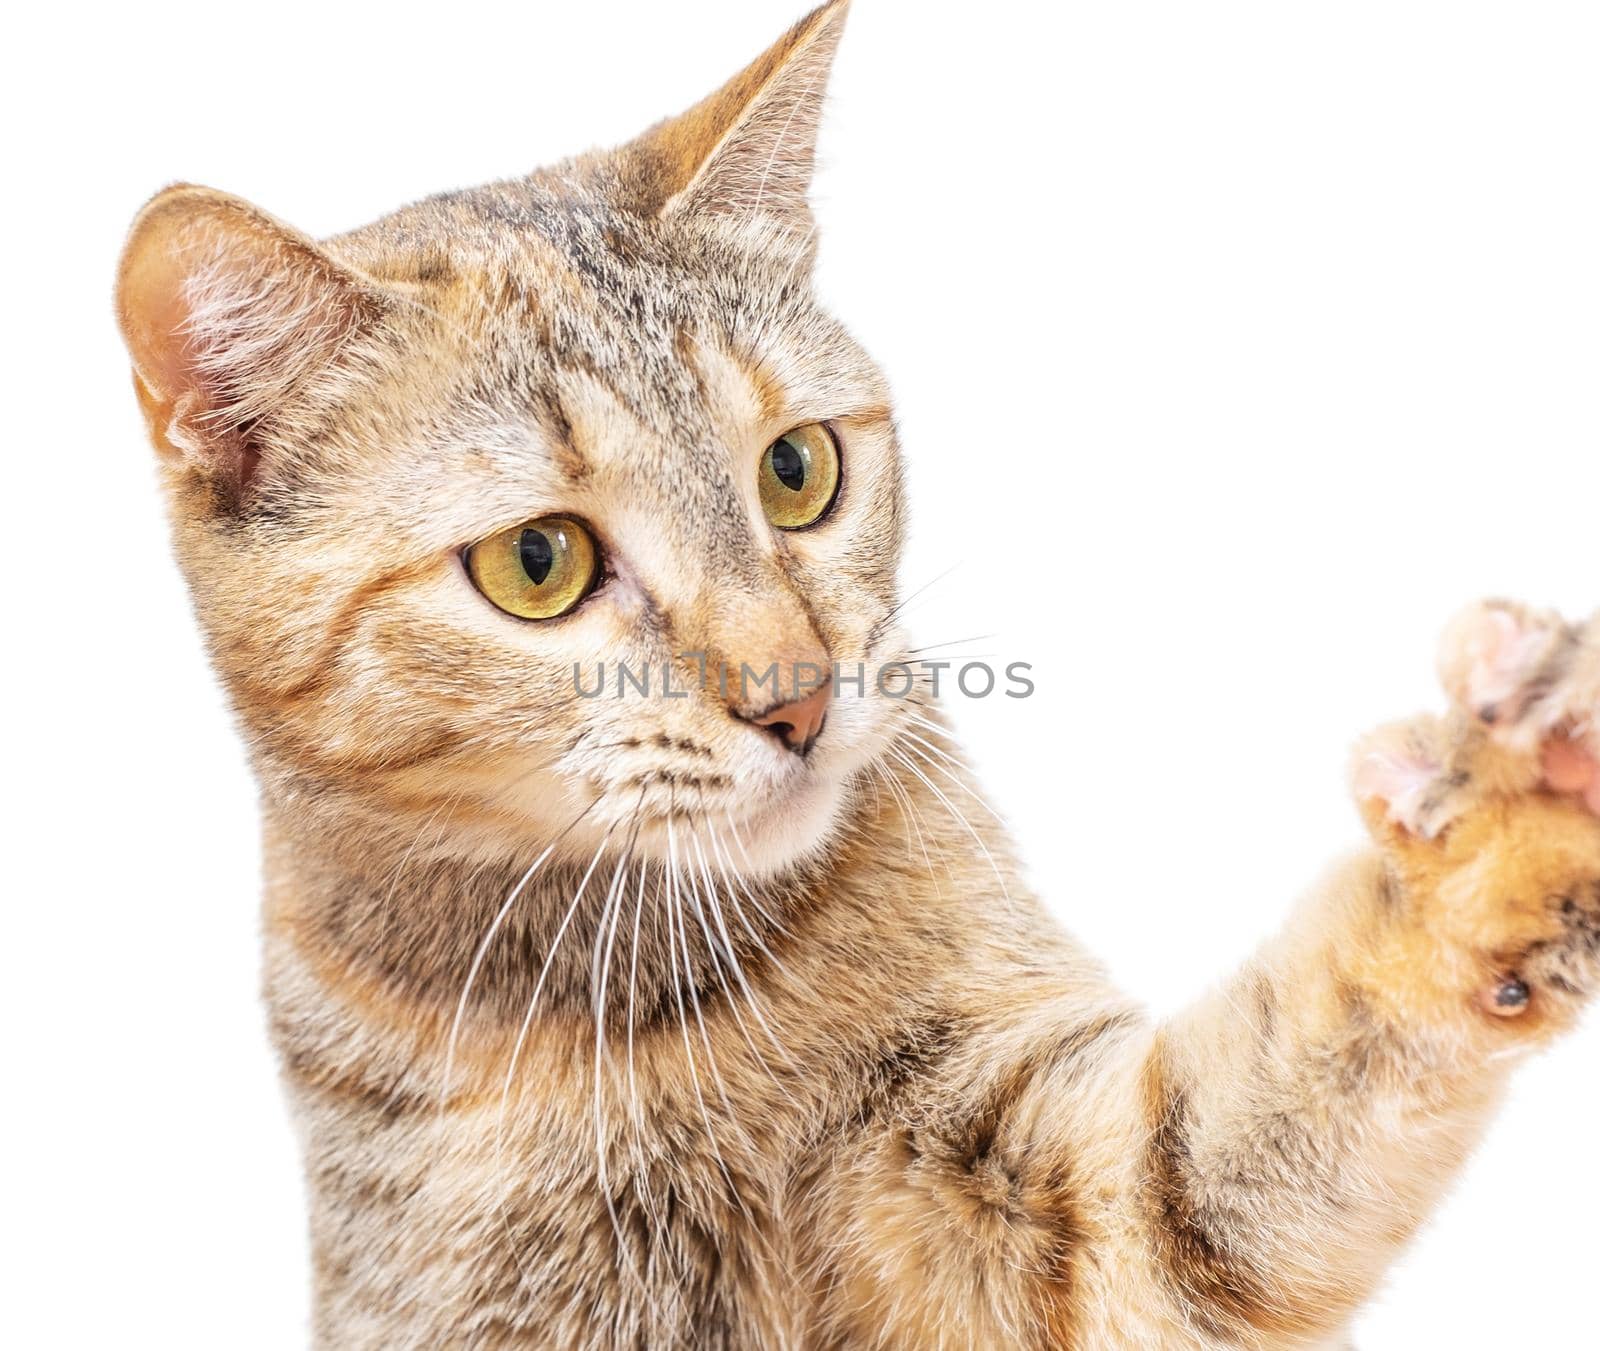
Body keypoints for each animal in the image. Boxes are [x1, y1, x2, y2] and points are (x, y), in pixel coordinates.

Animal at [112, 0, 1600, 1344]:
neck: (625, 1007)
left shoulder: (1043, 1201)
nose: (799, 697)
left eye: (796, 468)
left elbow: (1232, 1130)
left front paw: (1496, 838)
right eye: (538, 561)